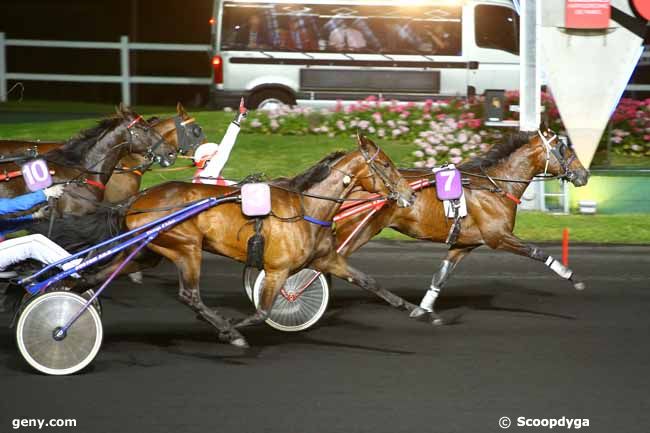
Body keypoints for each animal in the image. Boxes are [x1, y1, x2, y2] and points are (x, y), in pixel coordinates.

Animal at [83, 135, 412, 348]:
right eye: (385, 164)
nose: (408, 194)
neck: (305, 206)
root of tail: (138, 199)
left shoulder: (325, 258)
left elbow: (369, 281)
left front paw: (413, 309)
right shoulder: (278, 269)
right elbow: (261, 312)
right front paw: (231, 328)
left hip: (148, 252)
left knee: (98, 275)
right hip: (186, 247)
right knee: (190, 295)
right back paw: (229, 332)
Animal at [332, 126, 588, 322]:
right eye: (563, 148)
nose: (584, 174)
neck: (494, 186)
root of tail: (353, 181)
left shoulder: (463, 245)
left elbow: (441, 276)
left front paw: (423, 309)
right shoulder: (498, 237)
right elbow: (537, 252)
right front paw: (571, 276)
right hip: (361, 229)